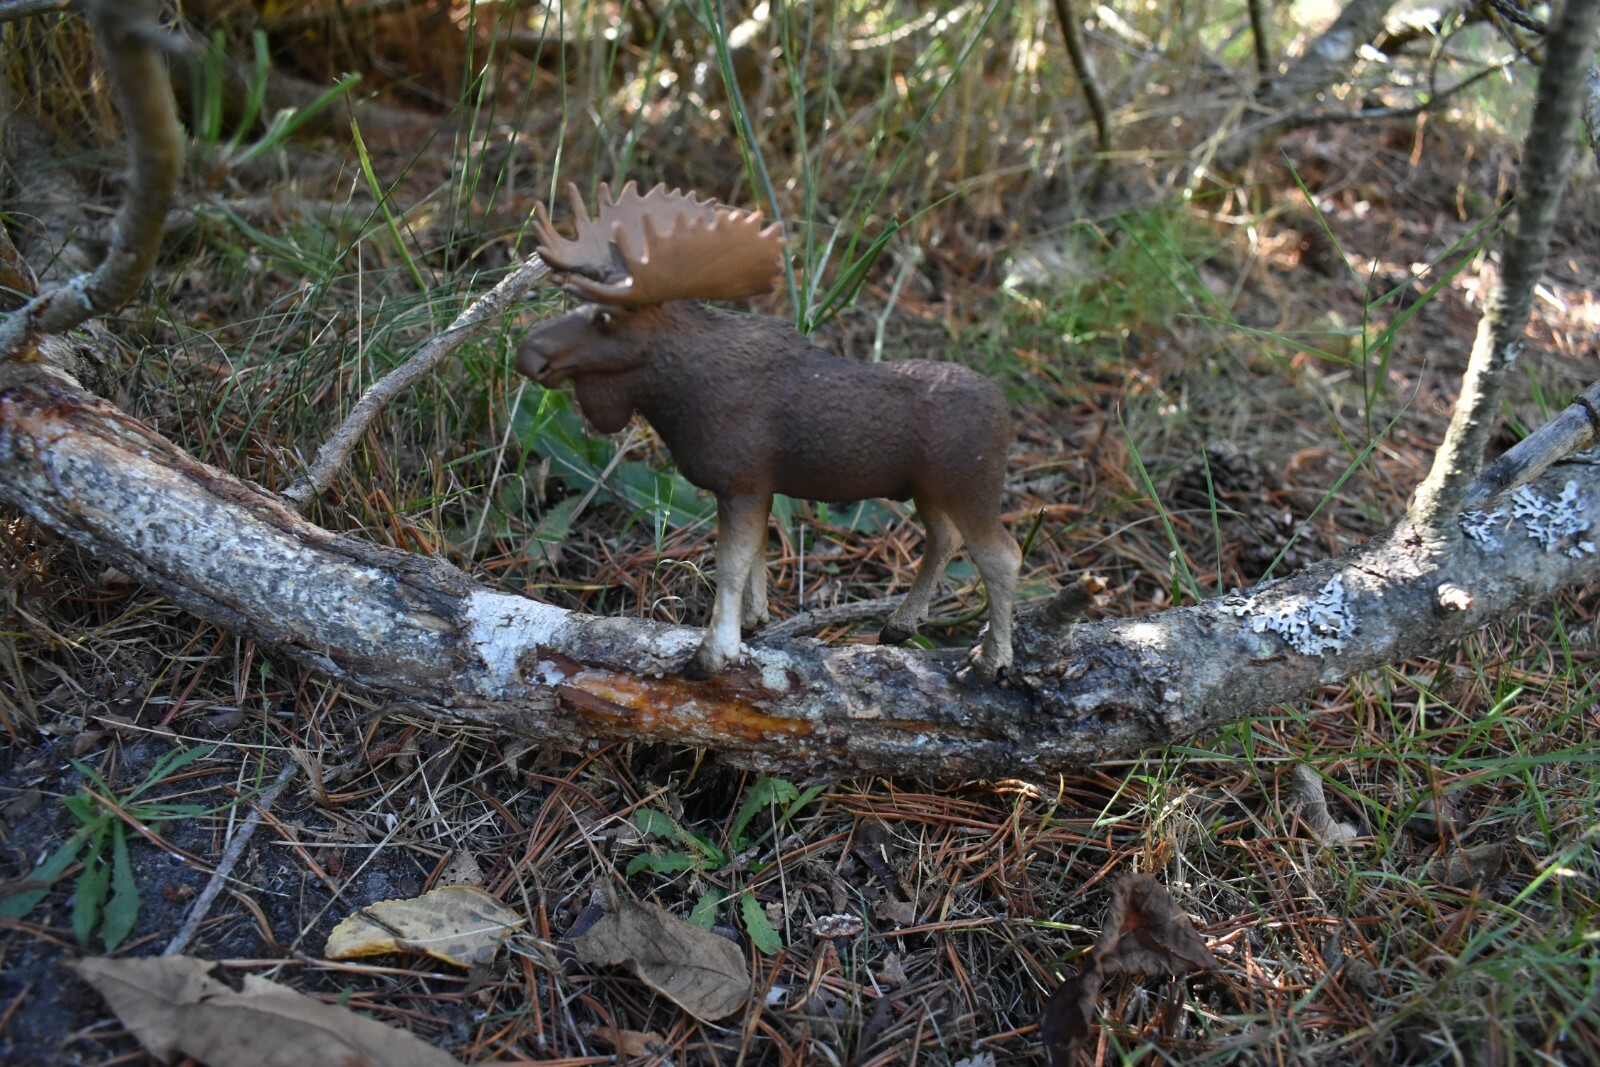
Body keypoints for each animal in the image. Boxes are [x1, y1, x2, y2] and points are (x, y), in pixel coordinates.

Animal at [516, 182, 1021, 685]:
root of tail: (1005, 413)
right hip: (927, 491)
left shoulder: (741, 482)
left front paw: (712, 654)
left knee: (1003, 555)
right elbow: (756, 556)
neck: (676, 397)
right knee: (945, 540)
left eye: (606, 316)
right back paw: (901, 624)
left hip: (968, 488)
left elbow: (730, 565)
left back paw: (988, 660)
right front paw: (754, 621)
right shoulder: (756, 487)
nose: (529, 353)